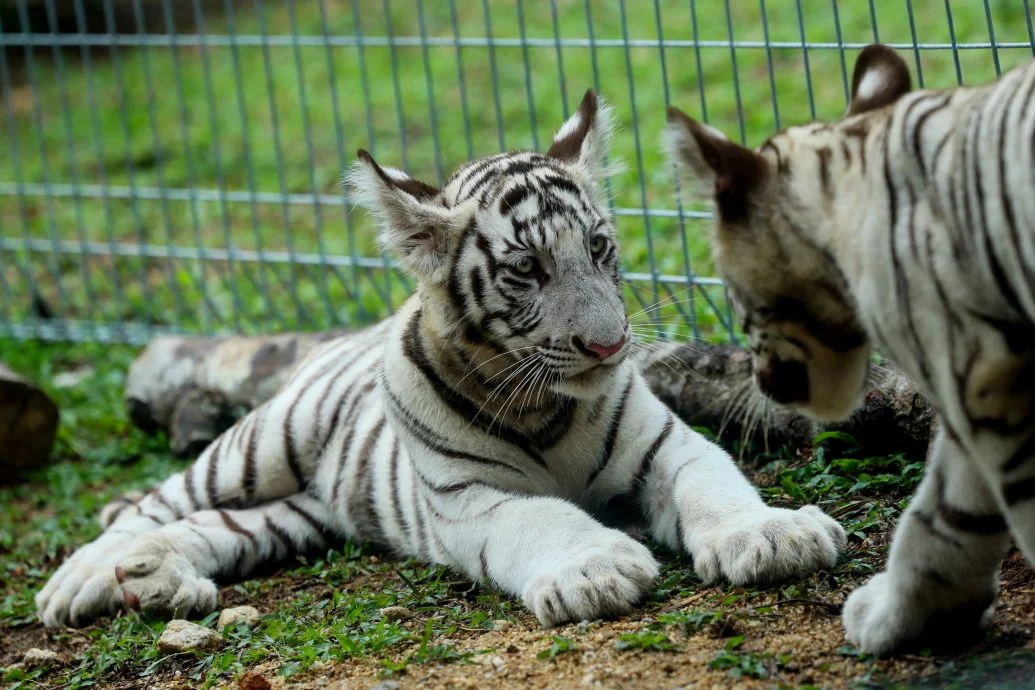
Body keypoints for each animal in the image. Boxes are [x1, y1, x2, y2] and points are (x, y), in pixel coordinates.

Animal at [36, 90, 845, 630]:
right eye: (526, 270)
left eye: (599, 247)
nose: (609, 345)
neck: (546, 403)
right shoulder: (471, 498)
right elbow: (545, 521)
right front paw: (597, 569)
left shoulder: (670, 448)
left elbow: (716, 487)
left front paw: (775, 535)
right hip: (261, 445)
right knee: (159, 501)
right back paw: (83, 577)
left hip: (298, 512)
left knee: (216, 527)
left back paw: (154, 576)